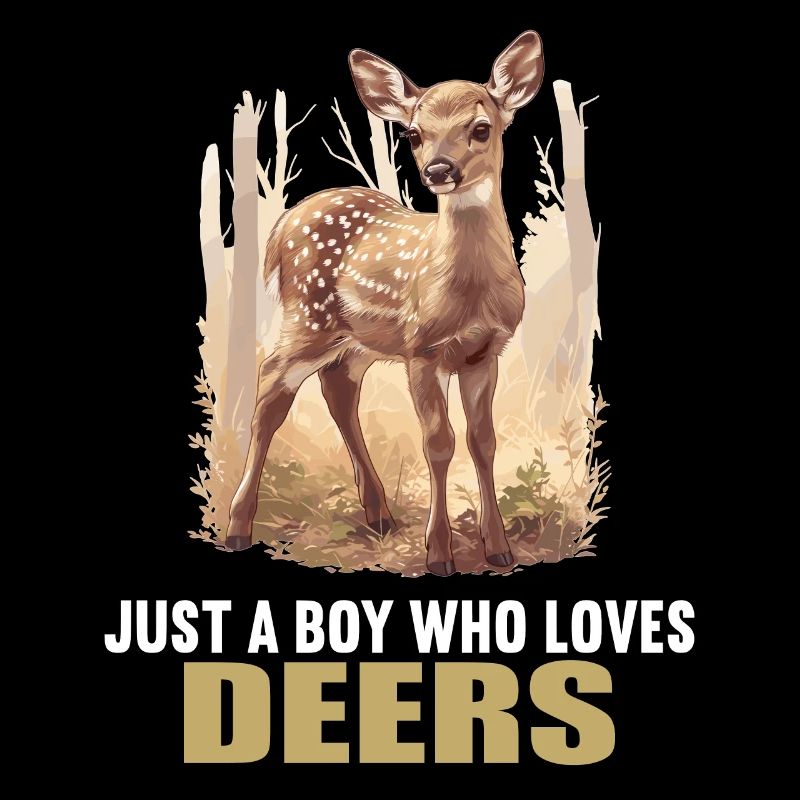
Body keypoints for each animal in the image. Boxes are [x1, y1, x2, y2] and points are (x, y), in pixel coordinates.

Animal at [226, 31, 545, 576]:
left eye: (481, 128)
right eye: (414, 134)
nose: (439, 169)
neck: (470, 294)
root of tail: (282, 229)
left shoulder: (485, 353)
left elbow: (483, 442)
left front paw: (499, 548)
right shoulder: (423, 348)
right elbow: (439, 443)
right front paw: (439, 554)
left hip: (357, 341)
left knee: (337, 390)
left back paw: (379, 515)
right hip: (308, 317)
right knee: (270, 387)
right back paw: (237, 527)